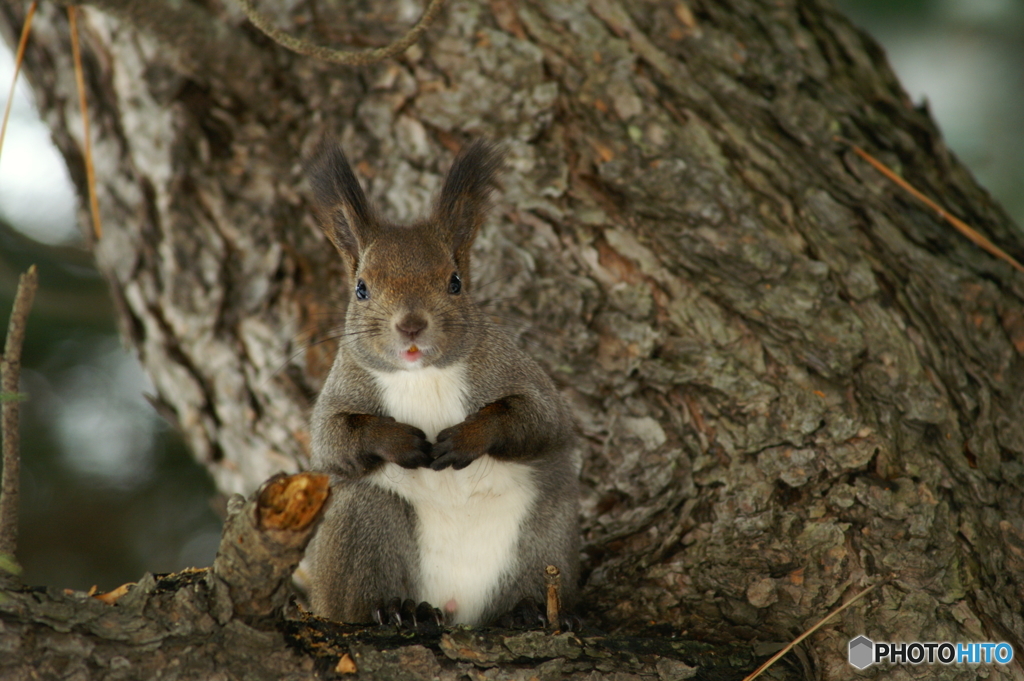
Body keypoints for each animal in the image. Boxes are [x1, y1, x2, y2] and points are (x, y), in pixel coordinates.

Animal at [299, 138, 581, 626]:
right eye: (361, 289)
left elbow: (535, 418)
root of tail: (457, 608)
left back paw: (530, 611)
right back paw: (398, 610)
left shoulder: (519, 376)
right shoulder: (340, 394)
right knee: (357, 597)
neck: (424, 376)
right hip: (363, 522)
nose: (411, 325)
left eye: (455, 283)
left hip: (548, 531)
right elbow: (334, 439)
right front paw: (399, 441)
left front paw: (467, 437)